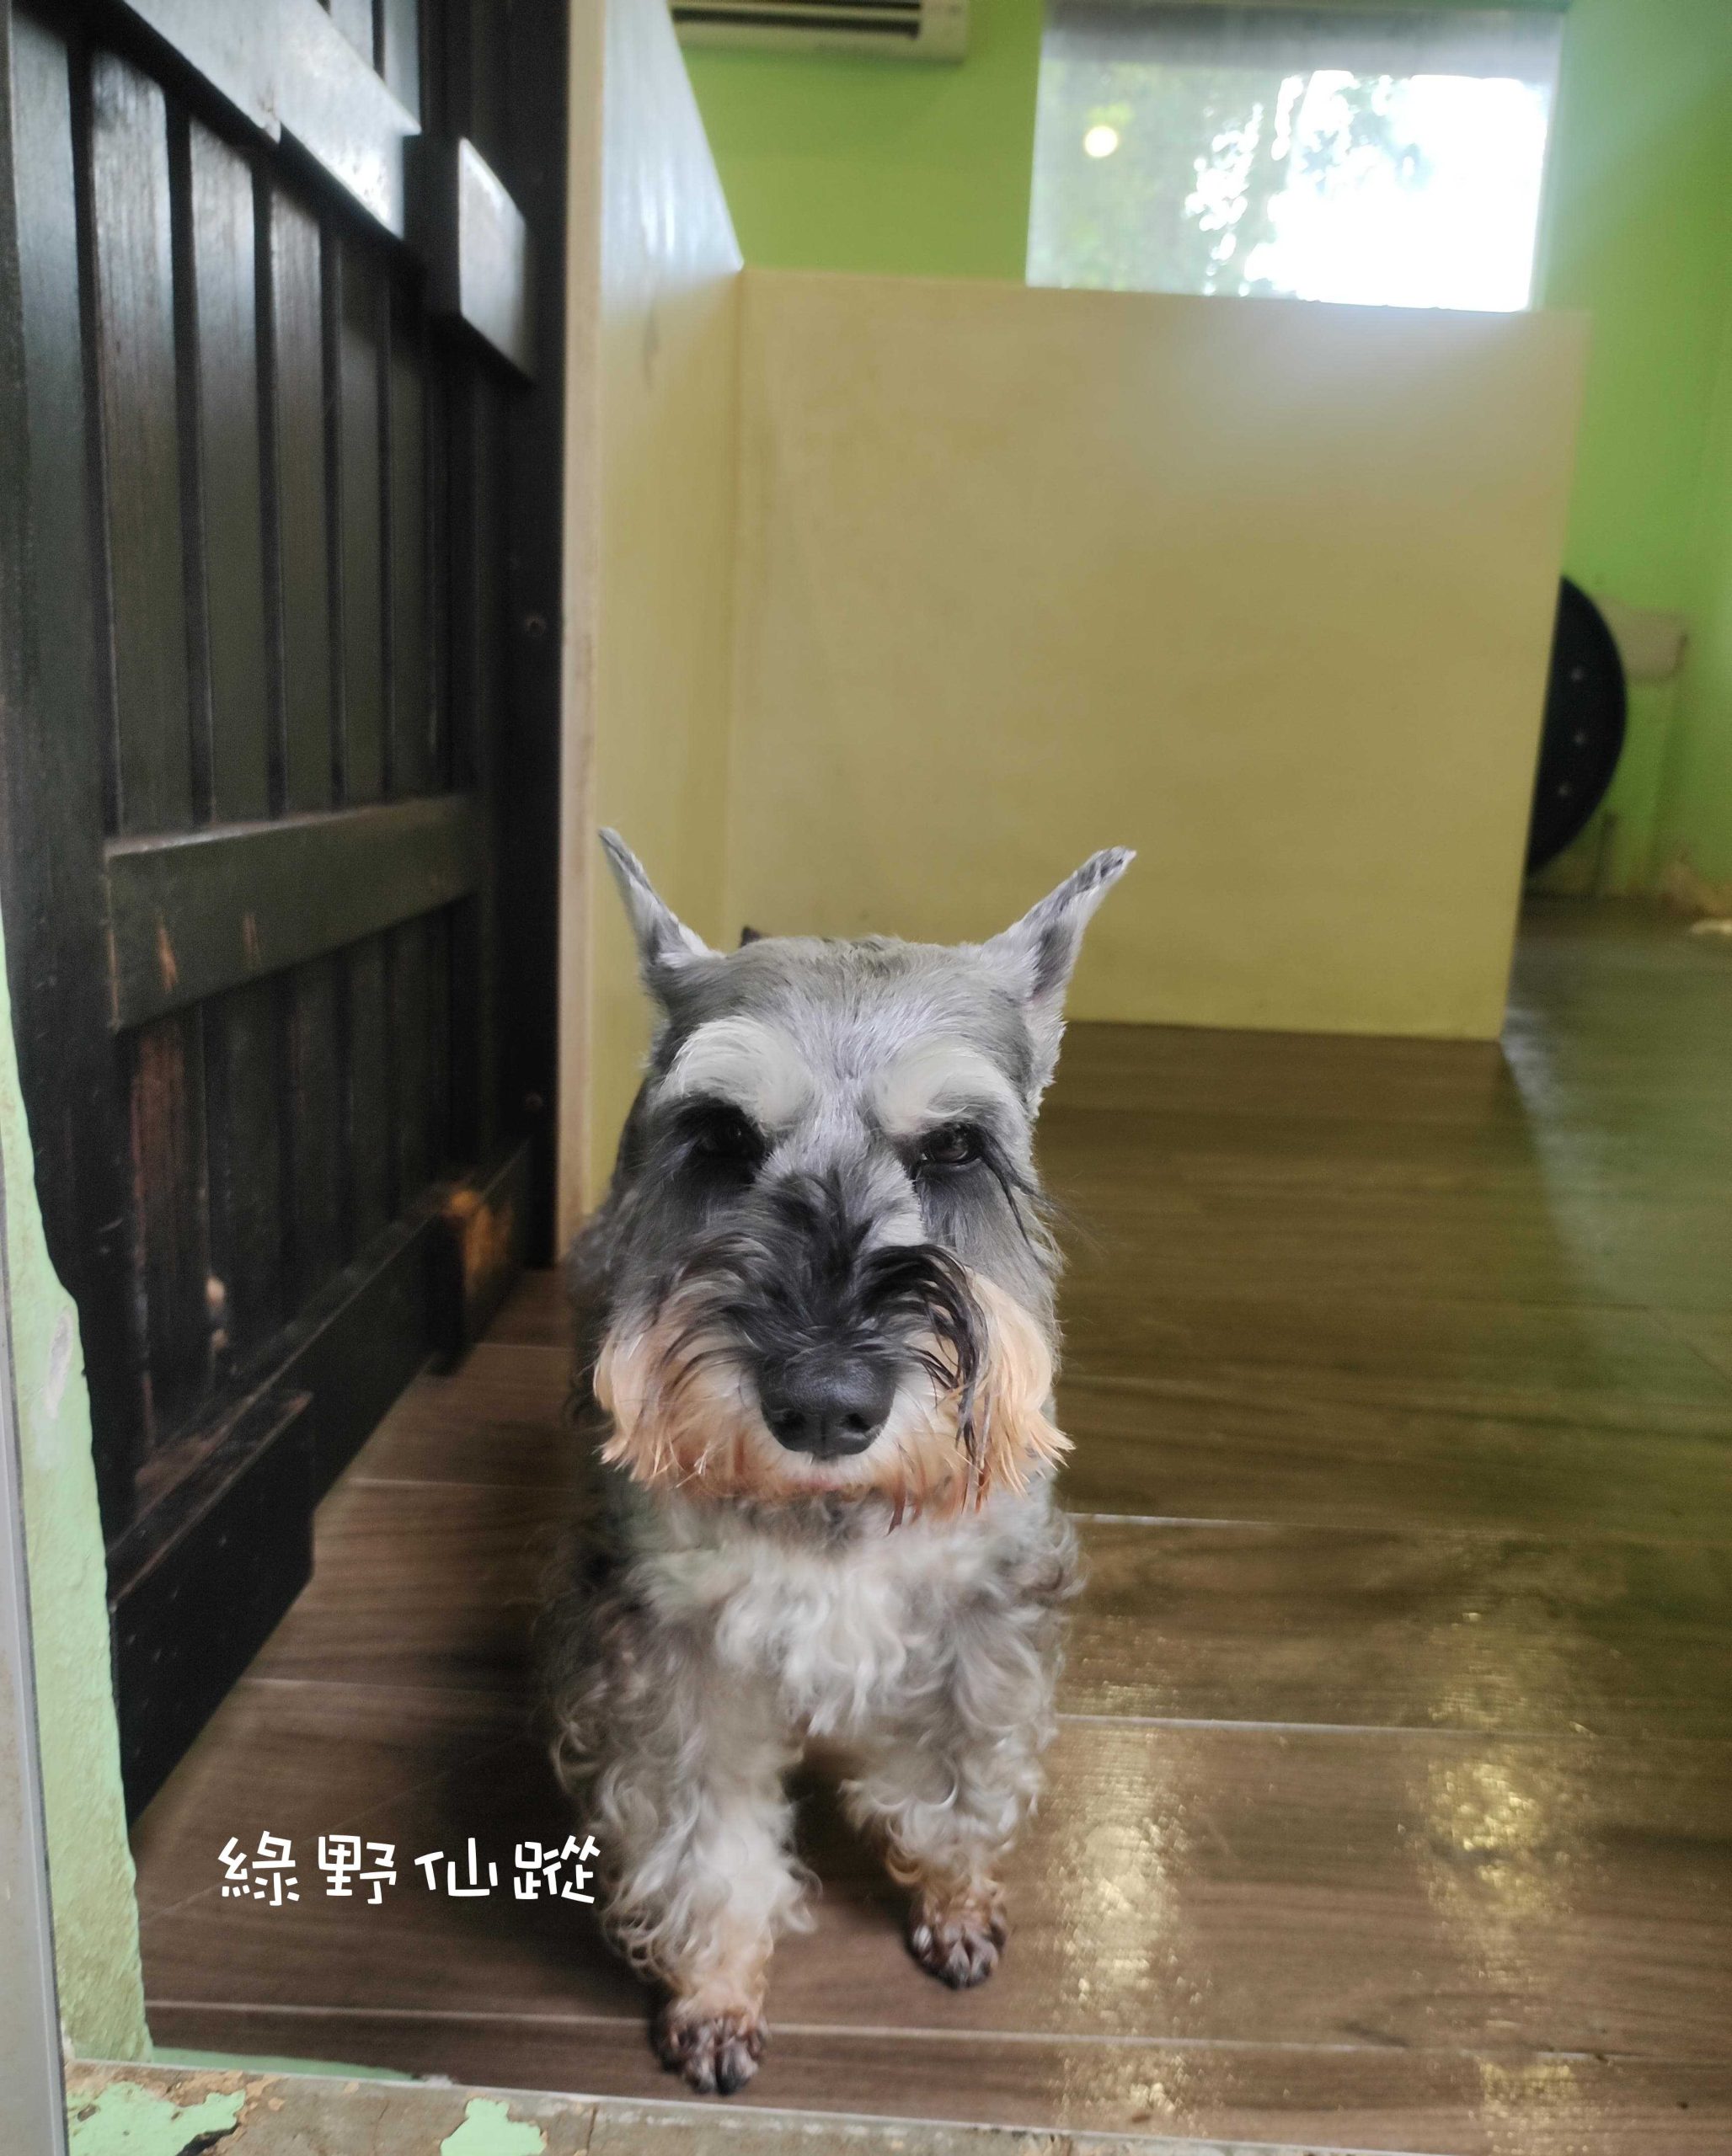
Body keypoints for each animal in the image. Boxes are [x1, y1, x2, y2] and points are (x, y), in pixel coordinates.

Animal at [543, 829, 1132, 2094]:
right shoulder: (670, 1652)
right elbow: (704, 1844)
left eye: (956, 1147)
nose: (822, 1407)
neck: (830, 1509)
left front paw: (955, 1907)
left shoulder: (982, 1617)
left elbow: (963, 1782)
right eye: (720, 1138)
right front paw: (715, 1996)